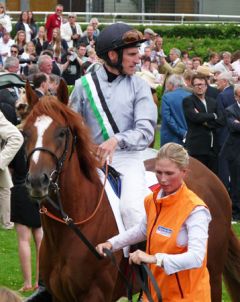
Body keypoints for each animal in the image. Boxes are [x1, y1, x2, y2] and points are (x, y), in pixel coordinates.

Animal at [23, 81, 240, 300]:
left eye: (61, 132)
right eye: (26, 133)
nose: (37, 181)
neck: (74, 223)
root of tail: (213, 178)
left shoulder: (95, 294)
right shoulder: (60, 295)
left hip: (211, 276)